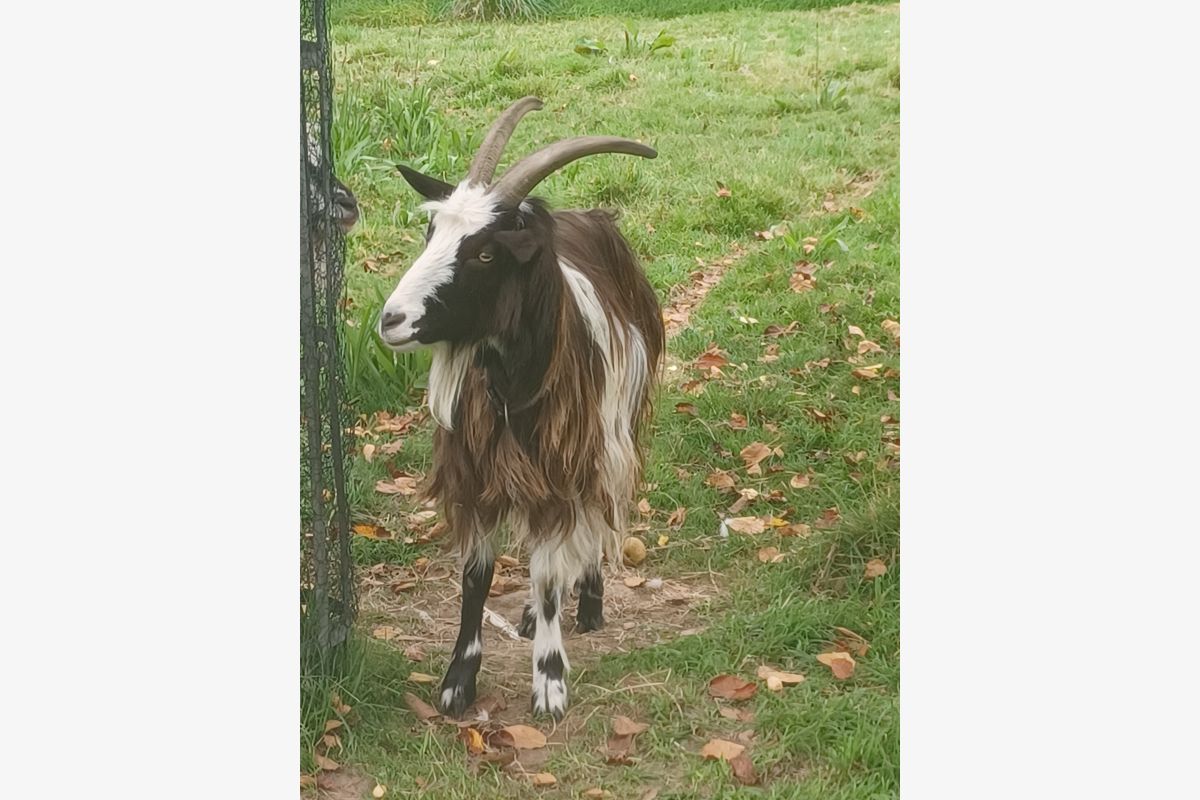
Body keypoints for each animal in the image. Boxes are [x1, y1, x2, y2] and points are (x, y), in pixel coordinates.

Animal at [381, 98, 667, 719]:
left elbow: (548, 572)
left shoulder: (563, 465)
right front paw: (458, 681)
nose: (391, 320)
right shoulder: (476, 472)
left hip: (612, 434)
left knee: (590, 524)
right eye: (431, 231)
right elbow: (477, 575)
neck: (510, 388)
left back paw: (588, 603)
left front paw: (550, 681)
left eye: (487, 252)